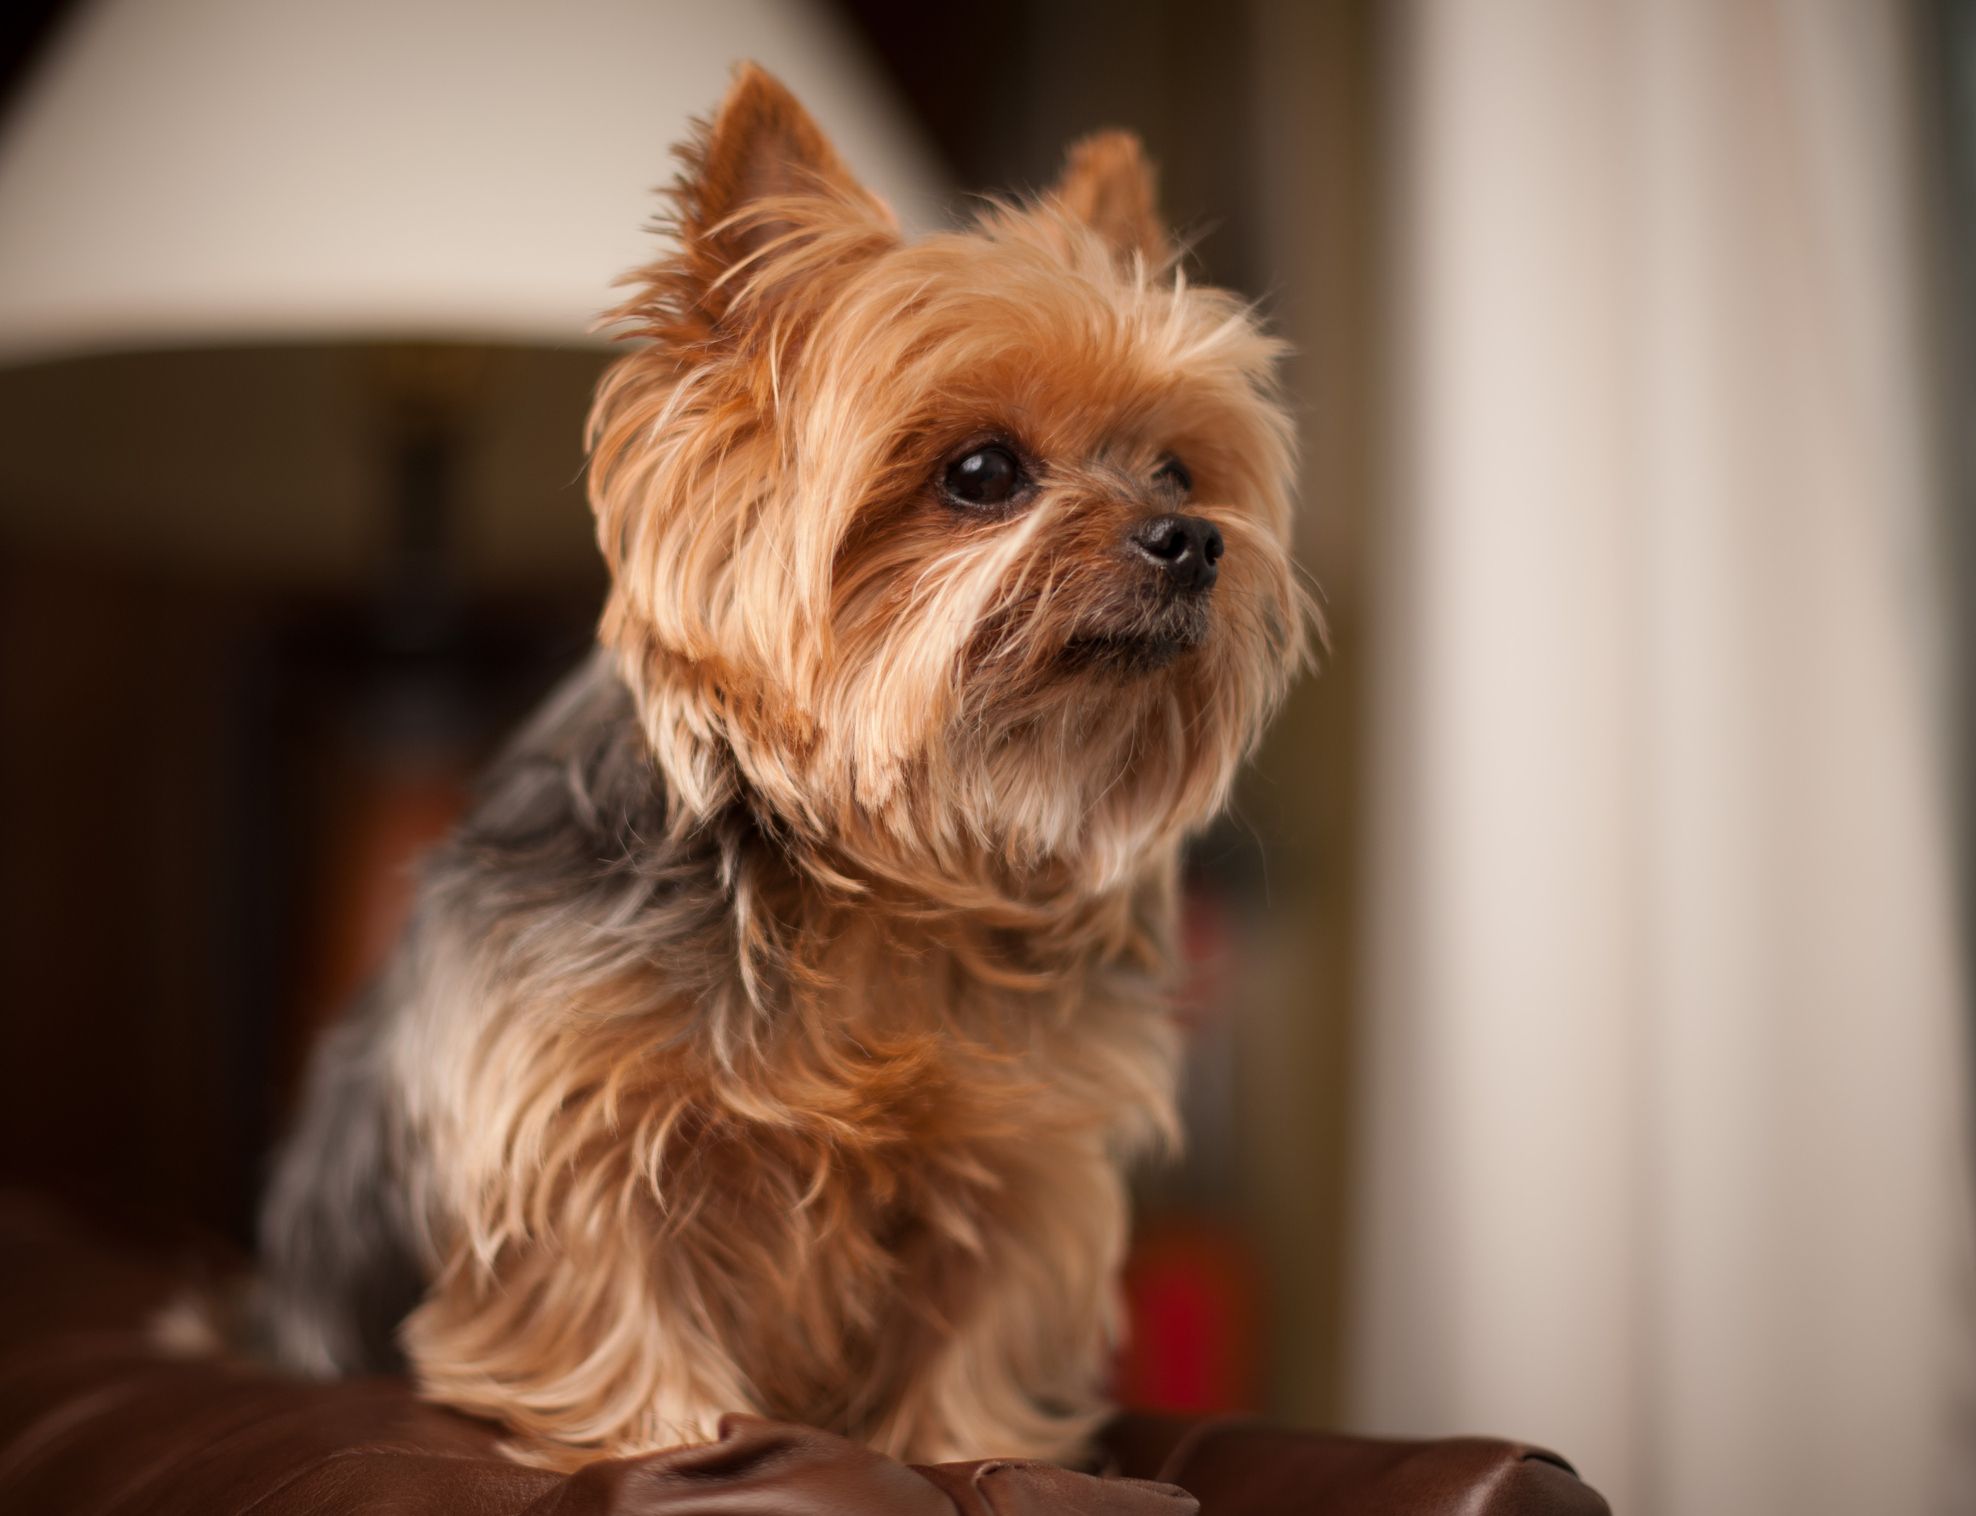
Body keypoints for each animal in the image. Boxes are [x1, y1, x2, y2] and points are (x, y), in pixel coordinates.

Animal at [258, 62, 1312, 1470]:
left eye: (1177, 467)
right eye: (982, 471)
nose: (1190, 541)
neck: (885, 867)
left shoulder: (1026, 1156)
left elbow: (980, 1326)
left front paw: (976, 1452)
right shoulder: (565, 1112)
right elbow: (608, 1289)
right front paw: (664, 1439)